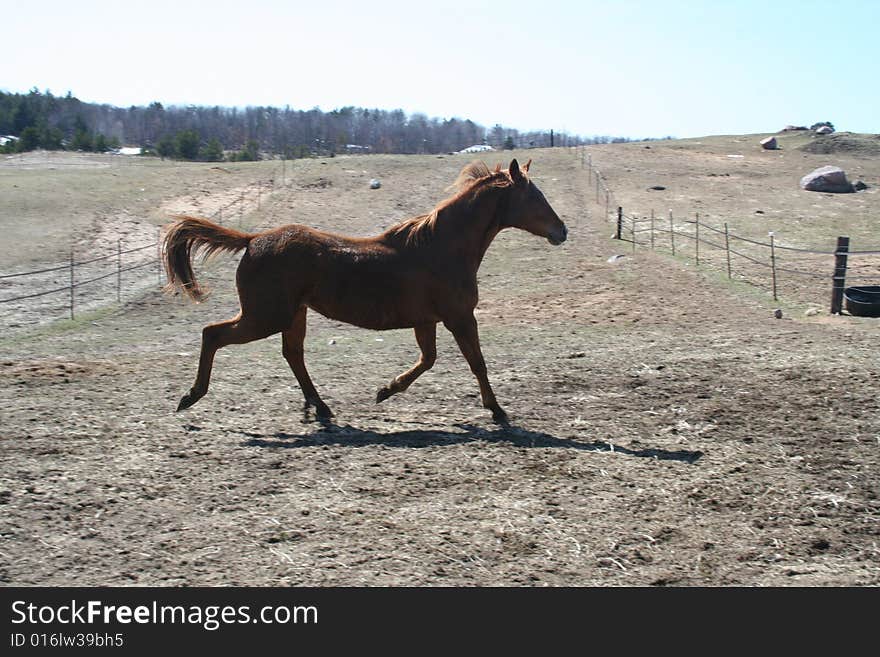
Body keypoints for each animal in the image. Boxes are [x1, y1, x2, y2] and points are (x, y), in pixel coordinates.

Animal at [163, 160, 564, 426]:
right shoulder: (459, 317)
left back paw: (320, 407)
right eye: (535, 197)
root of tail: (253, 239)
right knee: (213, 334)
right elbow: (476, 362)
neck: (441, 247)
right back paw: (191, 396)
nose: (562, 230)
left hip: (292, 314)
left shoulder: (427, 321)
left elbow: (428, 360)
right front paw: (497, 410)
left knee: (292, 354)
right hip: (266, 316)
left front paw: (385, 390)